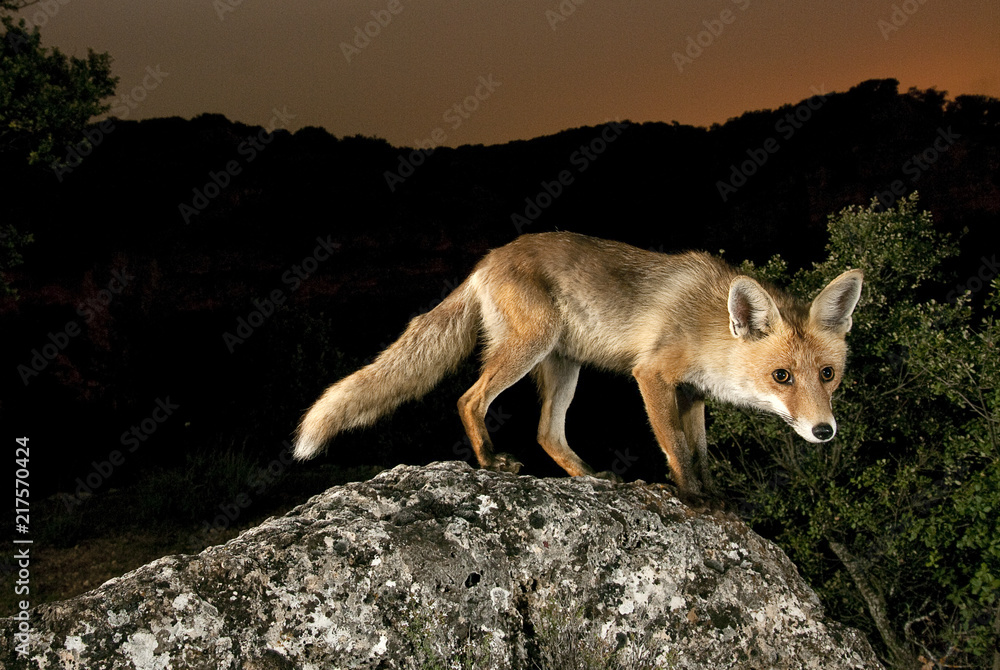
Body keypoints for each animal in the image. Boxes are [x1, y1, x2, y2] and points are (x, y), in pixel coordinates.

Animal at [292, 232, 864, 498]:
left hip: (564, 367)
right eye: (782, 377)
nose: (825, 431)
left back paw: (587, 477)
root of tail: (486, 260)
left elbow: (701, 453)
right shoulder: (652, 376)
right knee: (468, 398)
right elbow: (677, 450)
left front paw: (718, 500)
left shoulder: (694, 393)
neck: (709, 325)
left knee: (547, 433)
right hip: (532, 346)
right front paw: (694, 500)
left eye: (828, 375)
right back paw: (489, 461)